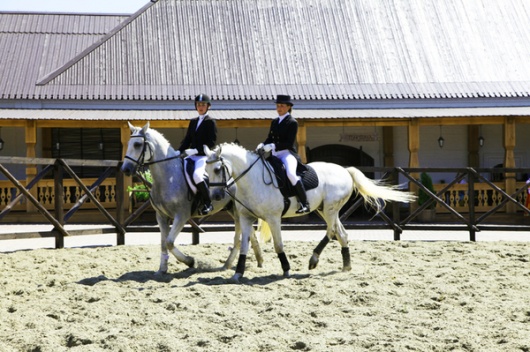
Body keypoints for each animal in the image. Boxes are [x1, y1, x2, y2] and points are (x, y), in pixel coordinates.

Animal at [117, 122, 262, 274]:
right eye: (129, 143)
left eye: (138, 144)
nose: (125, 169)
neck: (168, 177)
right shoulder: (161, 216)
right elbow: (163, 243)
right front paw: (162, 269)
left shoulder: (181, 215)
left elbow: (169, 242)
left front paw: (190, 261)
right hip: (234, 208)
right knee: (249, 233)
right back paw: (258, 261)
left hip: (236, 209)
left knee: (238, 237)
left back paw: (227, 265)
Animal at [204, 142, 414, 282]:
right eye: (205, 169)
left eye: (218, 168)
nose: (215, 196)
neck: (252, 180)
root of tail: (345, 170)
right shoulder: (246, 218)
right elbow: (244, 246)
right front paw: (237, 273)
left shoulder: (273, 218)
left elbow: (278, 245)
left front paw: (286, 270)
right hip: (325, 210)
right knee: (341, 233)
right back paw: (345, 265)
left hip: (330, 209)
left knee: (332, 231)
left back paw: (314, 259)